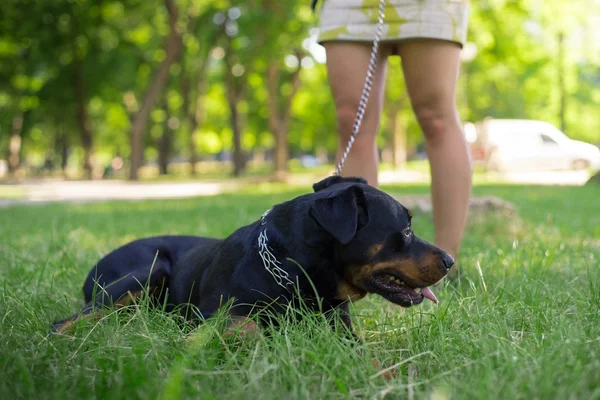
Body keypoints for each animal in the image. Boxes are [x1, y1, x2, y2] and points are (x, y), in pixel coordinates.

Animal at [52, 177, 454, 336]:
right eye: (405, 230)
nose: (450, 260)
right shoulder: (206, 315)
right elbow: (245, 324)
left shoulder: (342, 331)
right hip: (148, 268)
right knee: (68, 320)